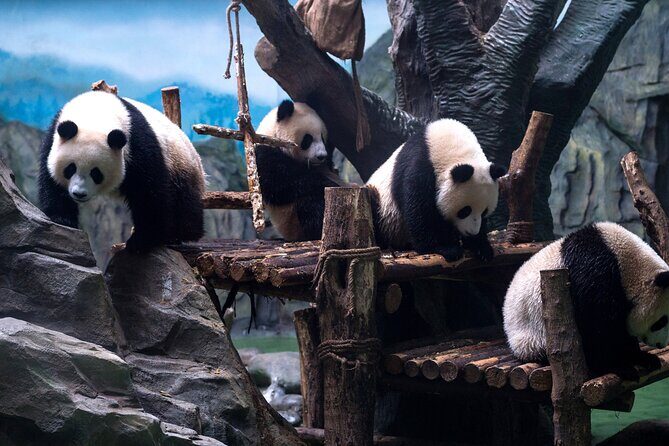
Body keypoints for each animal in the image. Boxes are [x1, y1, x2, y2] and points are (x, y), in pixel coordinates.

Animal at [39, 90, 206, 253]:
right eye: (71, 168)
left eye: (96, 173)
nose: (79, 194)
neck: (95, 114)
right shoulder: (53, 137)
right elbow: (51, 180)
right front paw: (62, 218)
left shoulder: (137, 144)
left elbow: (149, 192)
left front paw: (141, 241)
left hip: (181, 166)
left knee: (185, 205)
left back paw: (179, 235)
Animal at [255, 99, 341, 241]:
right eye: (308, 139)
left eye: (322, 137)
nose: (322, 156)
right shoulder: (264, 155)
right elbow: (280, 183)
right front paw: (327, 183)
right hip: (293, 223)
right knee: (310, 203)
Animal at [366, 118, 506, 261]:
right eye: (465, 211)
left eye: (484, 212)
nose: (472, 232)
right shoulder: (420, 167)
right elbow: (419, 209)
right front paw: (443, 248)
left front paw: (481, 247)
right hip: (384, 212)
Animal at [503, 222, 669, 380]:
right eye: (662, 321)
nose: (661, 344)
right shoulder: (595, 273)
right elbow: (596, 324)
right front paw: (617, 366)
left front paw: (643, 357)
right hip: (532, 337)